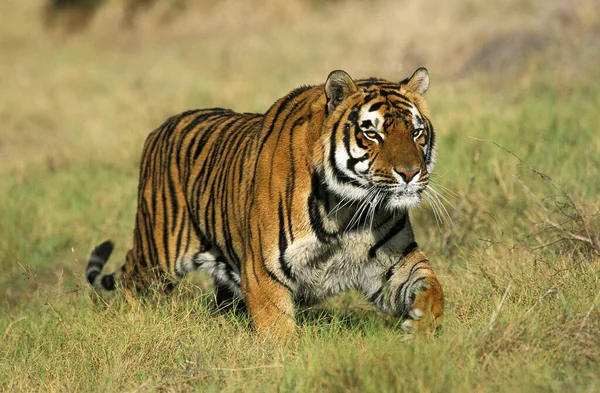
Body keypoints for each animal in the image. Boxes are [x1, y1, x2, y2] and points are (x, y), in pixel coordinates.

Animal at [88, 66, 446, 334]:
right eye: (372, 133)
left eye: (416, 132)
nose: (410, 173)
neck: (348, 208)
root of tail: (160, 128)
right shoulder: (264, 271)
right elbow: (278, 332)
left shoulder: (395, 261)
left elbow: (431, 286)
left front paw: (421, 327)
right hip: (156, 254)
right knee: (132, 279)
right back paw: (134, 323)